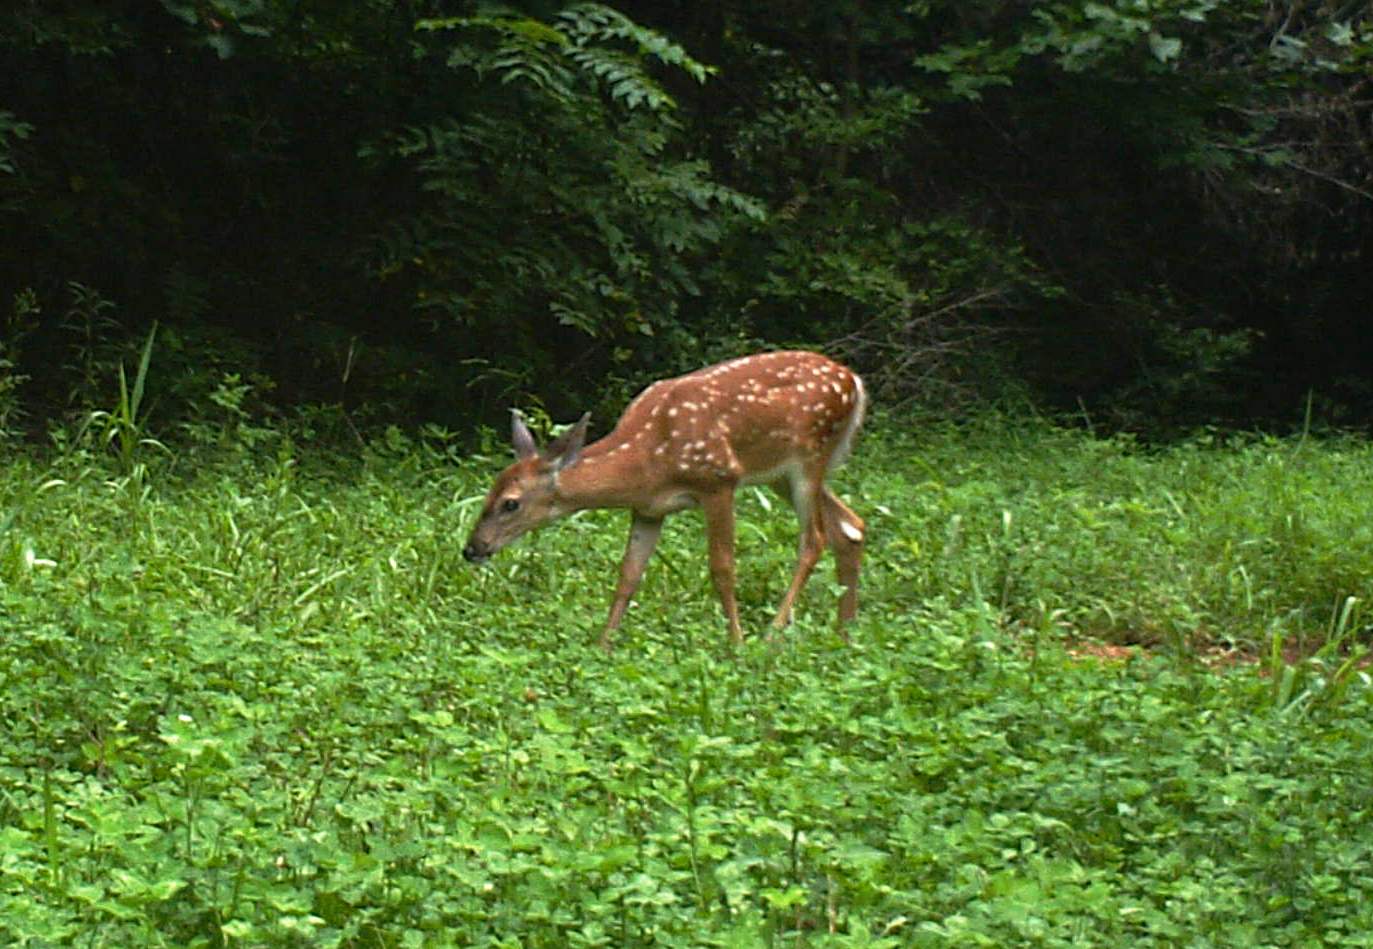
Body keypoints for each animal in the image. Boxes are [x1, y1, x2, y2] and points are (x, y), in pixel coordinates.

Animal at [462, 350, 867, 651]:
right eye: (489, 492)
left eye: (511, 503)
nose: (472, 549)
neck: (647, 461)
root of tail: (855, 381)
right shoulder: (647, 509)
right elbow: (628, 574)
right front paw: (603, 645)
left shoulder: (718, 480)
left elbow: (722, 567)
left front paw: (735, 644)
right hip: (779, 473)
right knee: (851, 526)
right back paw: (844, 633)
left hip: (809, 457)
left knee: (815, 538)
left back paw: (773, 633)